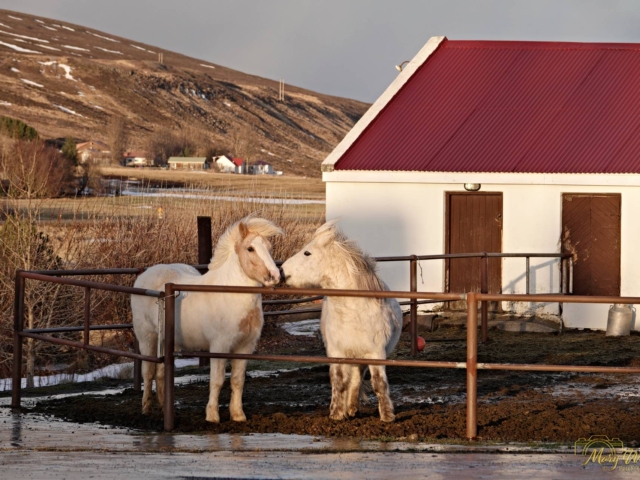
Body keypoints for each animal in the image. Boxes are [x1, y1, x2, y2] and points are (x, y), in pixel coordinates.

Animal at [131, 216, 284, 423]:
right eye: (250, 248)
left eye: (269, 247)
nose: (274, 276)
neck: (229, 294)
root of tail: (144, 276)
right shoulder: (219, 347)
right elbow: (217, 380)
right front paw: (212, 416)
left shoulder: (245, 347)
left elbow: (237, 381)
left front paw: (238, 415)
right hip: (147, 337)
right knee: (148, 372)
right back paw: (146, 409)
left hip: (167, 341)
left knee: (161, 373)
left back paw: (164, 409)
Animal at [280, 220, 402, 422]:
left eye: (307, 253)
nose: (281, 271)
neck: (353, 312)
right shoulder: (336, 353)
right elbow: (338, 381)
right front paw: (337, 413)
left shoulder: (376, 353)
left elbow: (378, 384)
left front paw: (387, 415)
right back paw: (349, 408)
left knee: (357, 379)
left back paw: (353, 408)